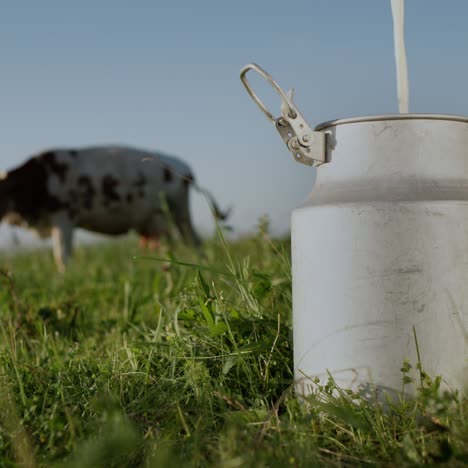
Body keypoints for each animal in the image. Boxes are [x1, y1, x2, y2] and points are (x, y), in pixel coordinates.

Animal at [0, 145, 229, 270]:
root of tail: (184, 168)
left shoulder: (64, 217)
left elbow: (62, 256)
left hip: (171, 215)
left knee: (183, 243)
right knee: (191, 243)